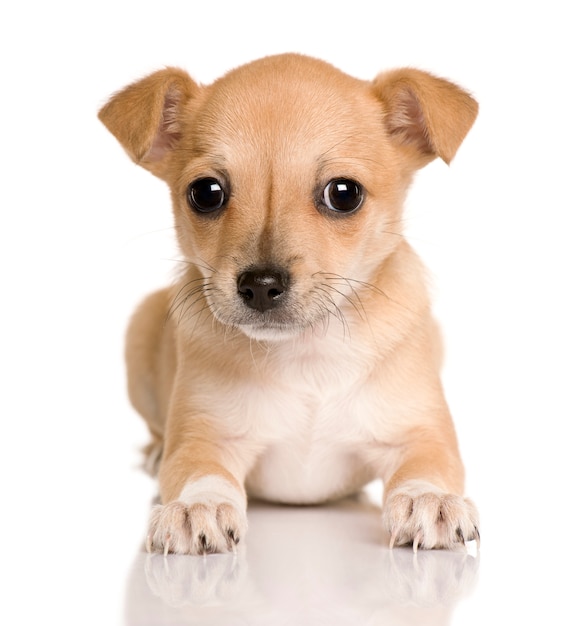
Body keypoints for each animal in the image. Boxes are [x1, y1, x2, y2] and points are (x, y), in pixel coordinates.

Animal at [98, 52, 480, 552]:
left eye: (344, 193)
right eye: (206, 193)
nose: (260, 285)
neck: (305, 353)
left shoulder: (421, 435)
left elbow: (428, 467)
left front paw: (426, 499)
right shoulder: (203, 437)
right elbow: (199, 473)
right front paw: (197, 506)